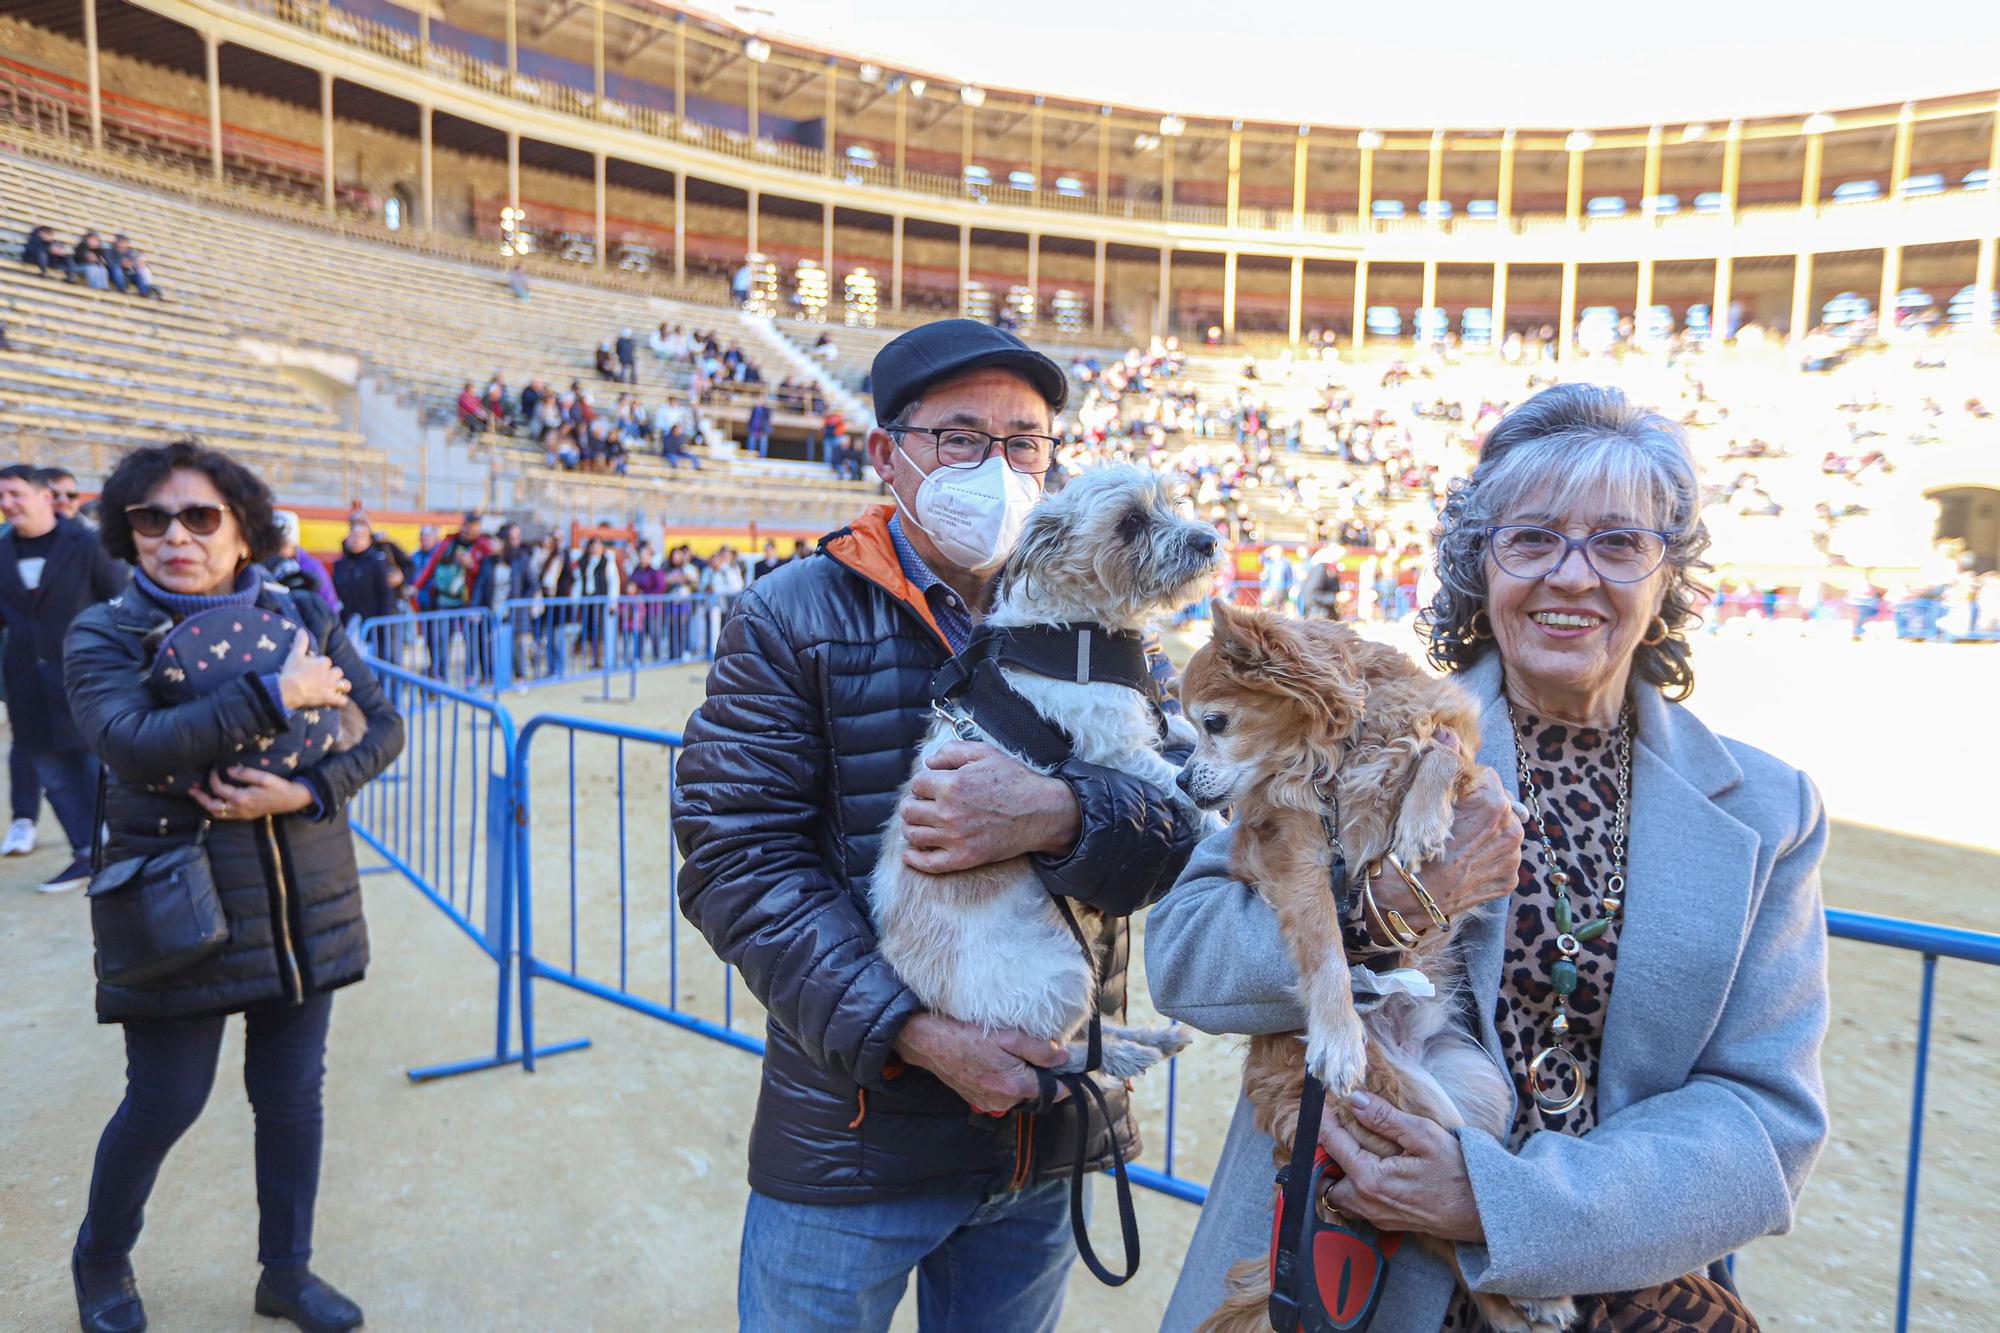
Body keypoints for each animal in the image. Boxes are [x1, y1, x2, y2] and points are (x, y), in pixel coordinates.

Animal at [872, 466, 1216, 1080]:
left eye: (1173, 502)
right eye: (1131, 522)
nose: (1209, 541)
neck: (1077, 634)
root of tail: (930, 1000)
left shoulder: (1149, 726)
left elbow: (1183, 735)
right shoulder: (1119, 754)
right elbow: (1181, 792)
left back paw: (1146, 1038)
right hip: (1066, 972)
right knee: (1057, 1056)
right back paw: (1126, 1050)